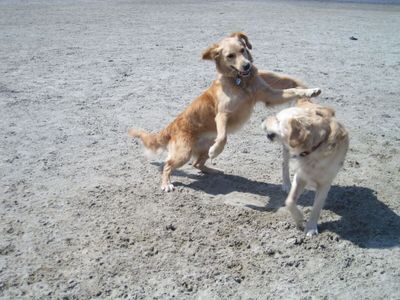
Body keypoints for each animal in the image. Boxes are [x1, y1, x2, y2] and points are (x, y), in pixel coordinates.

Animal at [130, 32, 320, 192]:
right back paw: (166, 183)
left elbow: (293, 90)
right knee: (168, 164)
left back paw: (212, 170)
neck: (240, 82)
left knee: (196, 164)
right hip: (183, 153)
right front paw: (217, 151)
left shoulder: (270, 95)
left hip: (202, 147)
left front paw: (310, 91)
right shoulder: (222, 114)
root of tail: (171, 126)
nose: (247, 65)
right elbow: (223, 137)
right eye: (230, 56)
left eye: (243, 50)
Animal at [260, 104, 348, 236]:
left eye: (278, 120)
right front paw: (299, 220)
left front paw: (311, 228)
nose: (262, 119)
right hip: (286, 150)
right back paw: (287, 184)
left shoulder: (325, 184)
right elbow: (289, 201)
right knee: (284, 164)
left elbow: (316, 207)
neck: (314, 148)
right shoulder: (300, 176)